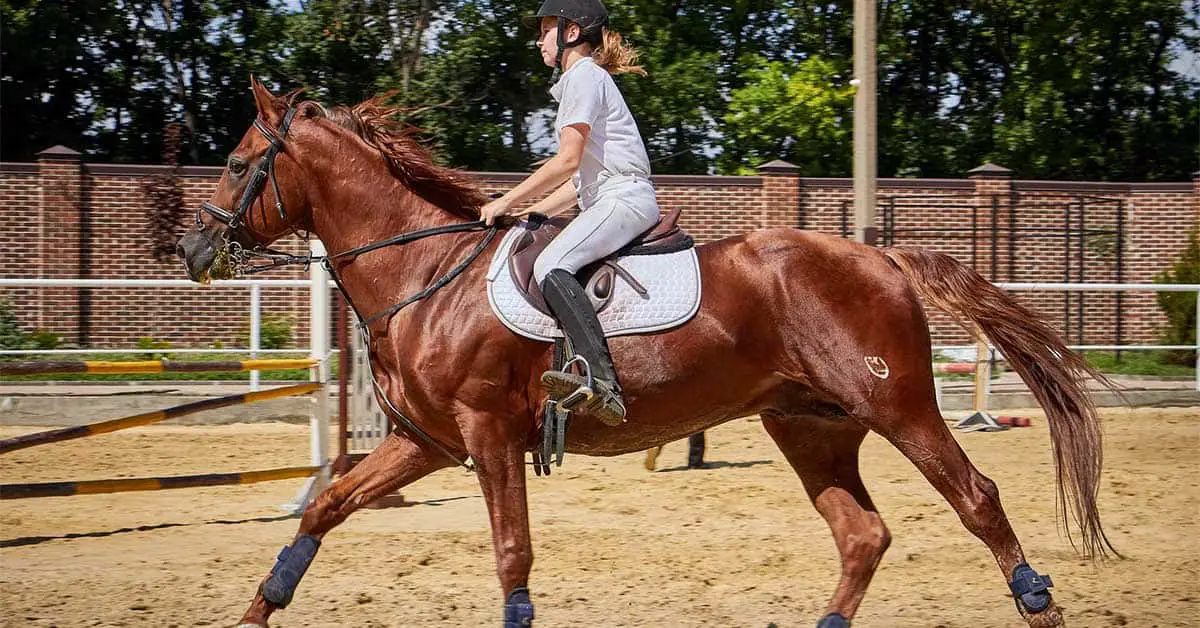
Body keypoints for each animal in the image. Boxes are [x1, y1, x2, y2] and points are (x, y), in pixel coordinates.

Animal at [176, 80, 1116, 628]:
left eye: (236, 164)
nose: (191, 249)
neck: (425, 274)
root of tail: (878, 255)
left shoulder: (487, 438)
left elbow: (512, 555)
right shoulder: (428, 444)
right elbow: (323, 511)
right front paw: (260, 608)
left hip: (899, 405)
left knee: (977, 500)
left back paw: (1039, 603)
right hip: (810, 426)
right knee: (862, 535)